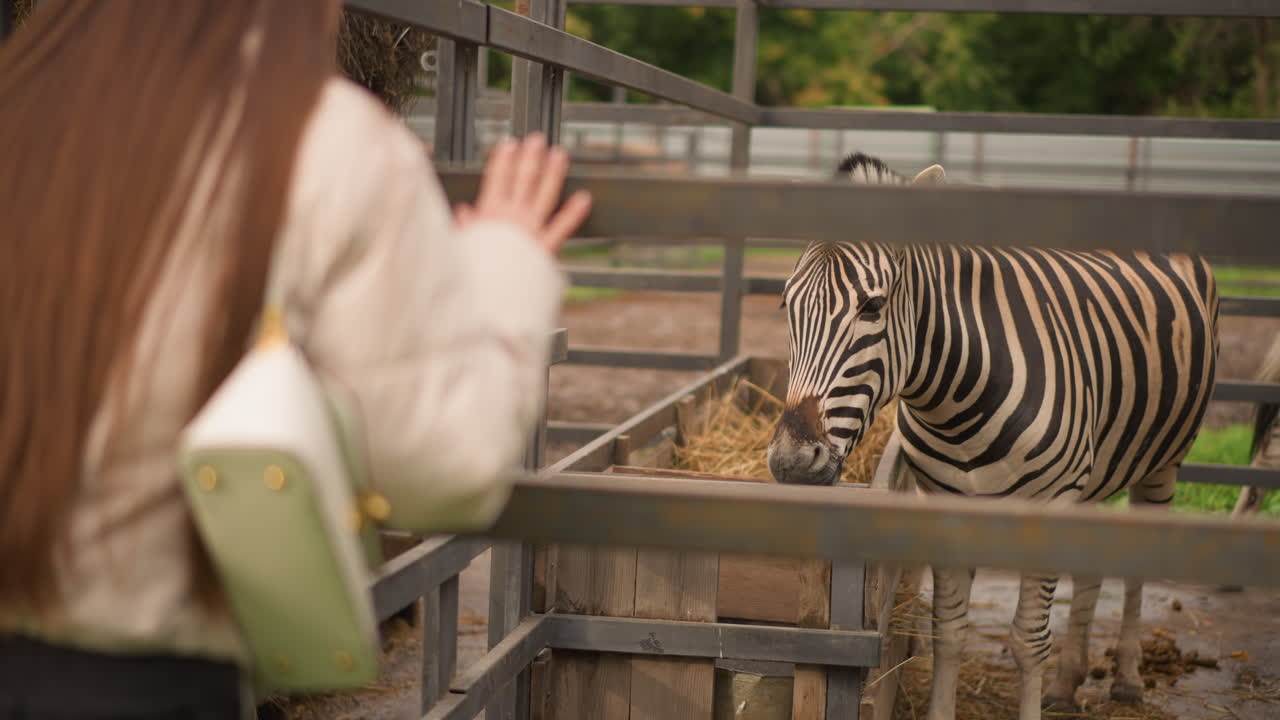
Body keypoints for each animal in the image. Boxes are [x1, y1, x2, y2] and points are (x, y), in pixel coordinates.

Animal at [767, 152, 1220, 720]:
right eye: (787, 305)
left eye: (871, 306)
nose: (790, 460)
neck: (957, 398)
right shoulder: (946, 503)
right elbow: (948, 631)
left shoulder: (1050, 504)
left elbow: (1028, 640)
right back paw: (1066, 684)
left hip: (1164, 459)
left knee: (1137, 568)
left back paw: (1128, 680)